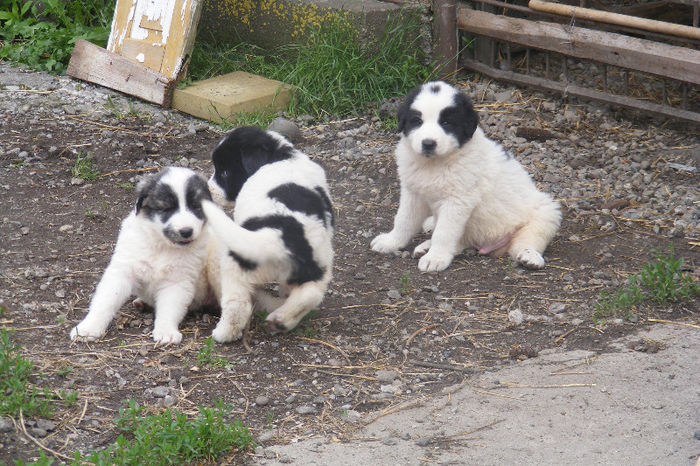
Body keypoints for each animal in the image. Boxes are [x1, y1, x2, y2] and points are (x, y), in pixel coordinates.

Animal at [71, 167, 215, 346]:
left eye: (196, 207)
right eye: (167, 209)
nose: (186, 231)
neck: (162, 246)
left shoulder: (177, 281)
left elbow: (170, 307)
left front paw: (166, 331)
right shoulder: (123, 271)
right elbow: (106, 301)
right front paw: (88, 328)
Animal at [201, 126, 334, 342]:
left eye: (225, 172)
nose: (208, 190)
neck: (279, 156)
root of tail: (281, 238)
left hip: (236, 263)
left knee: (237, 302)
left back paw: (224, 333)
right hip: (316, 266)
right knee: (311, 294)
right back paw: (281, 319)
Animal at [372, 82, 564, 274]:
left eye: (446, 123)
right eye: (417, 121)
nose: (428, 143)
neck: (434, 164)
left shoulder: (457, 201)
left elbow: (444, 232)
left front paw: (435, 258)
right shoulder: (413, 193)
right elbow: (404, 220)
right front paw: (390, 242)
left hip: (545, 213)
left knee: (526, 241)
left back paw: (530, 256)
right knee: (460, 241)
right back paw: (426, 246)